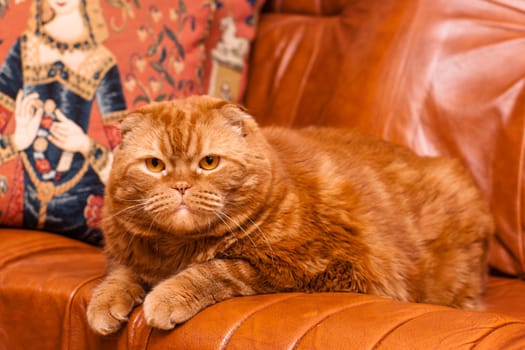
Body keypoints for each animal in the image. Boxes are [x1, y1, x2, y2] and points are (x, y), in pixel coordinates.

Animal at [86, 95, 492, 334]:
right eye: (154, 165)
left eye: (209, 162)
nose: (181, 186)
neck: (177, 250)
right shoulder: (129, 251)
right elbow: (120, 273)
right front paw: (104, 303)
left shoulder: (315, 267)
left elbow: (217, 269)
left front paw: (166, 296)